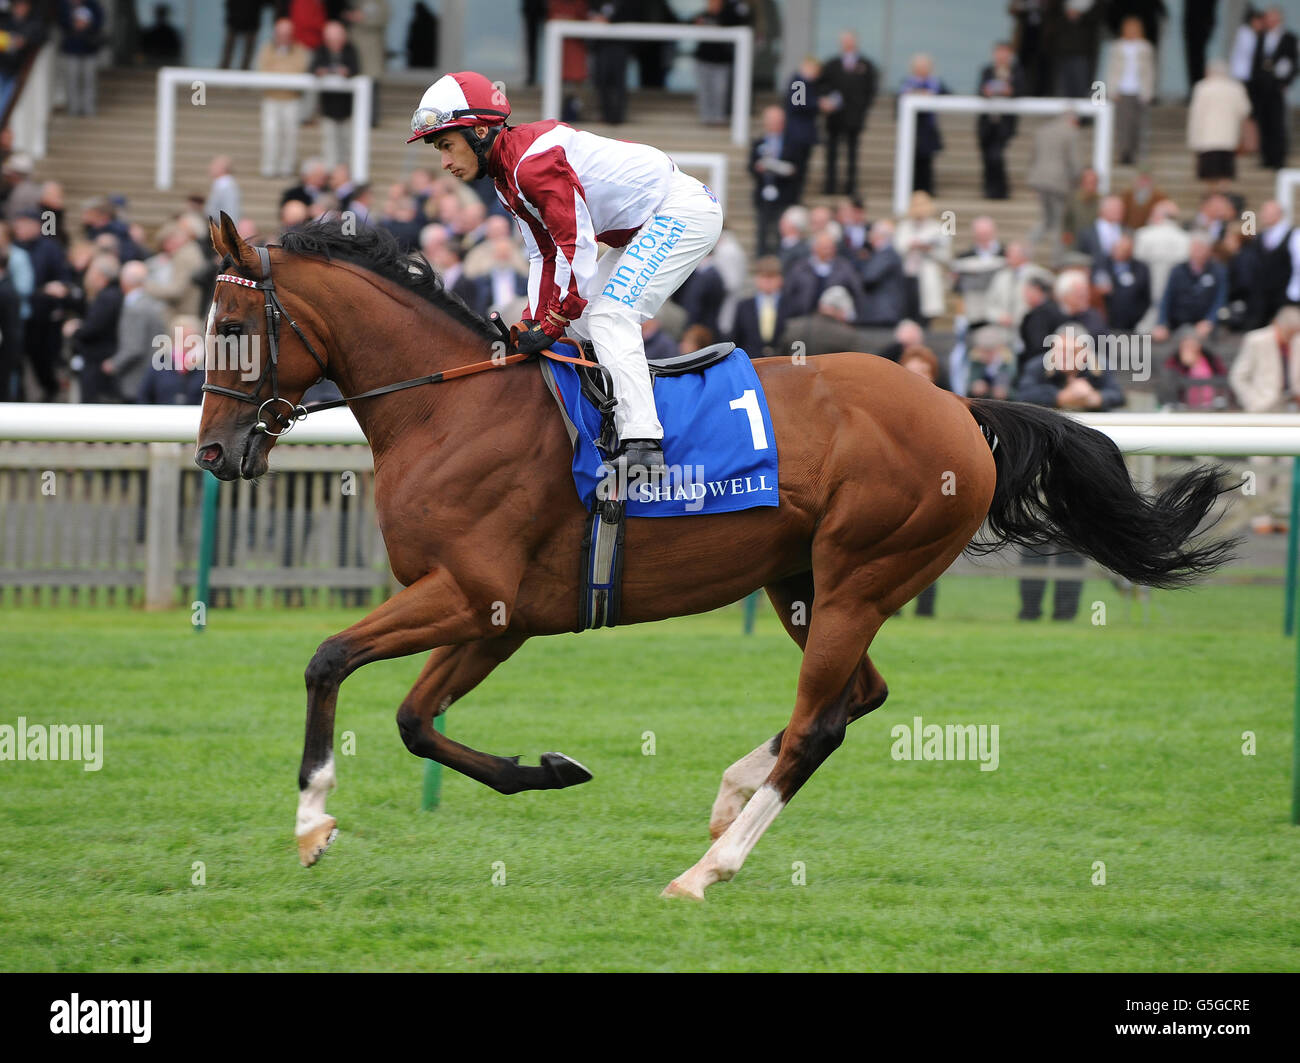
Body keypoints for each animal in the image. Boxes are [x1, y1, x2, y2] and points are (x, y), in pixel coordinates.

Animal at [192, 215, 1227, 894]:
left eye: (233, 330)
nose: (213, 453)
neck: (451, 406)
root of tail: (957, 406)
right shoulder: (500, 616)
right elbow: (414, 719)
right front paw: (551, 767)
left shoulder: (473, 593)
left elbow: (329, 658)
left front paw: (312, 821)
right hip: (801, 580)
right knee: (858, 695)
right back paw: (731, 796)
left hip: (861, 571)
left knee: (821, 721)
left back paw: (710, 867)